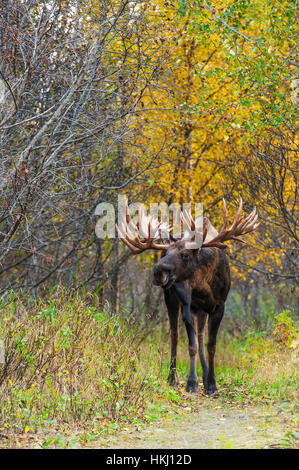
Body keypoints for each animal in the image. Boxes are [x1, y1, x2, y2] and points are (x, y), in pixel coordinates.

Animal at [117, 200, 260, 394]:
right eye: (165, 252)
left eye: (185, 254)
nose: (158, 271)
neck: (204, 286)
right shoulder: (187, 304)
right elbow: (191, 345)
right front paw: (191, 383)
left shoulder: (219, 305)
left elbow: (210, 344)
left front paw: (212, 383)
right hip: (172, 299)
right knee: (175, 335)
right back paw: (172, 377)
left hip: (201, 309)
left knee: (200, 335)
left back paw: (205, 375)